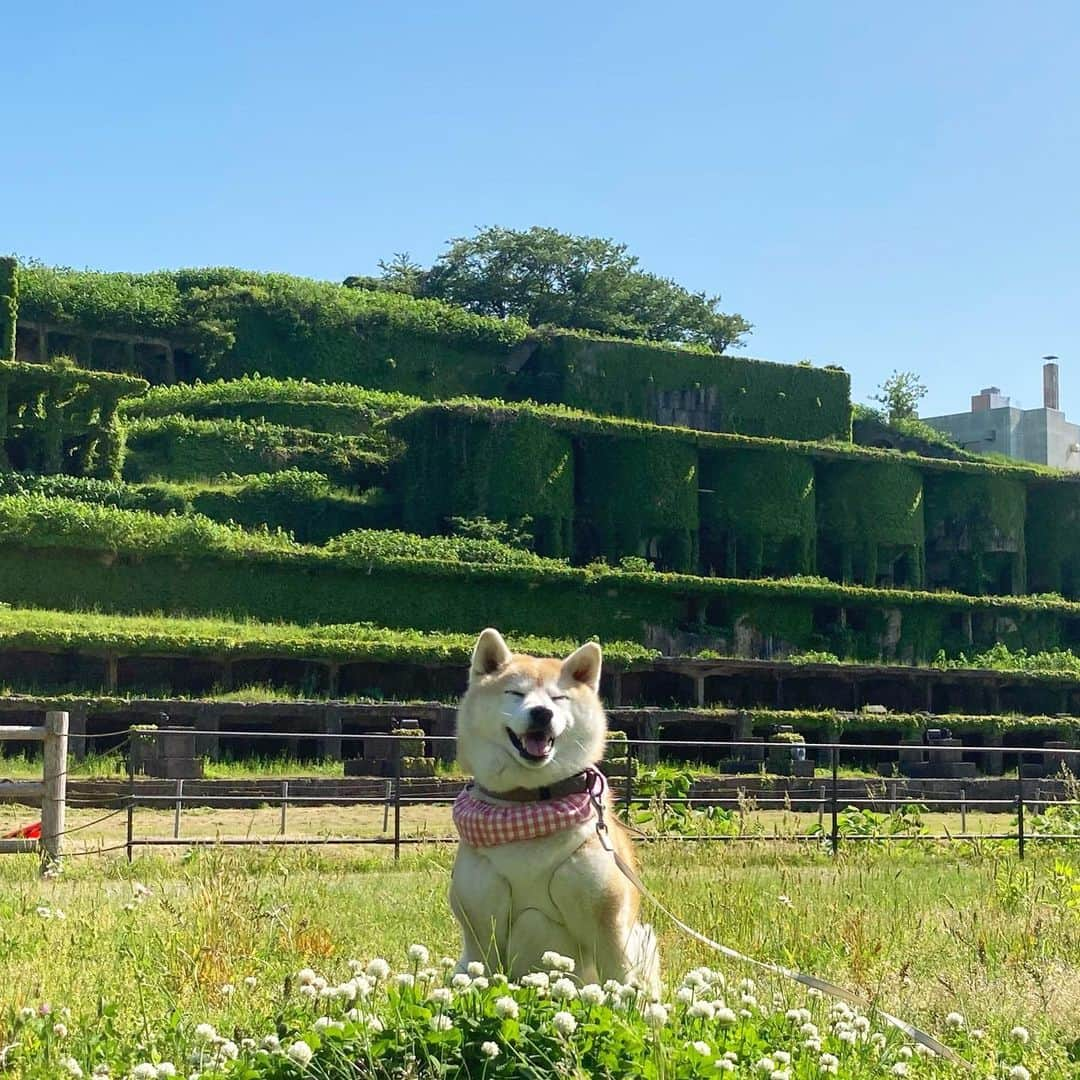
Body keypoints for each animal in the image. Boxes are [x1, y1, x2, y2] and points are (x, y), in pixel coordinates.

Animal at [449, 630, 656, 989]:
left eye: (559, 698)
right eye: (515, 693)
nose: (542, 713)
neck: (530, 803)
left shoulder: (608, 923)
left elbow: (618, 981)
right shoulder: (479, 926)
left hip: (642, 941)